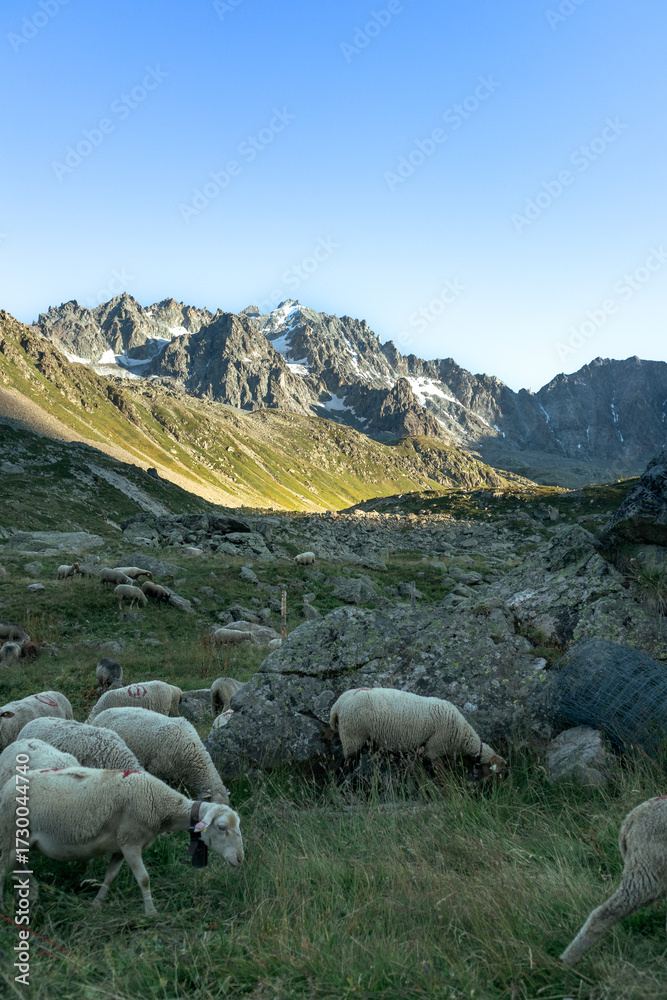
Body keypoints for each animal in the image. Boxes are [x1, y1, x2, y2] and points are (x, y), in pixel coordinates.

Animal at [0, 766, 243, 915]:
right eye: (222, 827)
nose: (240, 859)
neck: (159, 804)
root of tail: (8, 784)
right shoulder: (131, 842)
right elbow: (144, 879)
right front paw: (151, 913)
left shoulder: (120, 845)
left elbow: (110, 876)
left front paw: (96, 904)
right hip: (10, 835)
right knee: (3, 870)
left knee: (17, 867)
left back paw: (31, 893)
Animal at [329, 688, 507, 780]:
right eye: (498, 774)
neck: (461, 734)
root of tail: (337, 705)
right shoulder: (433, 750)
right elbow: (439, 775)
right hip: (353, 737)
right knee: (341, 770)